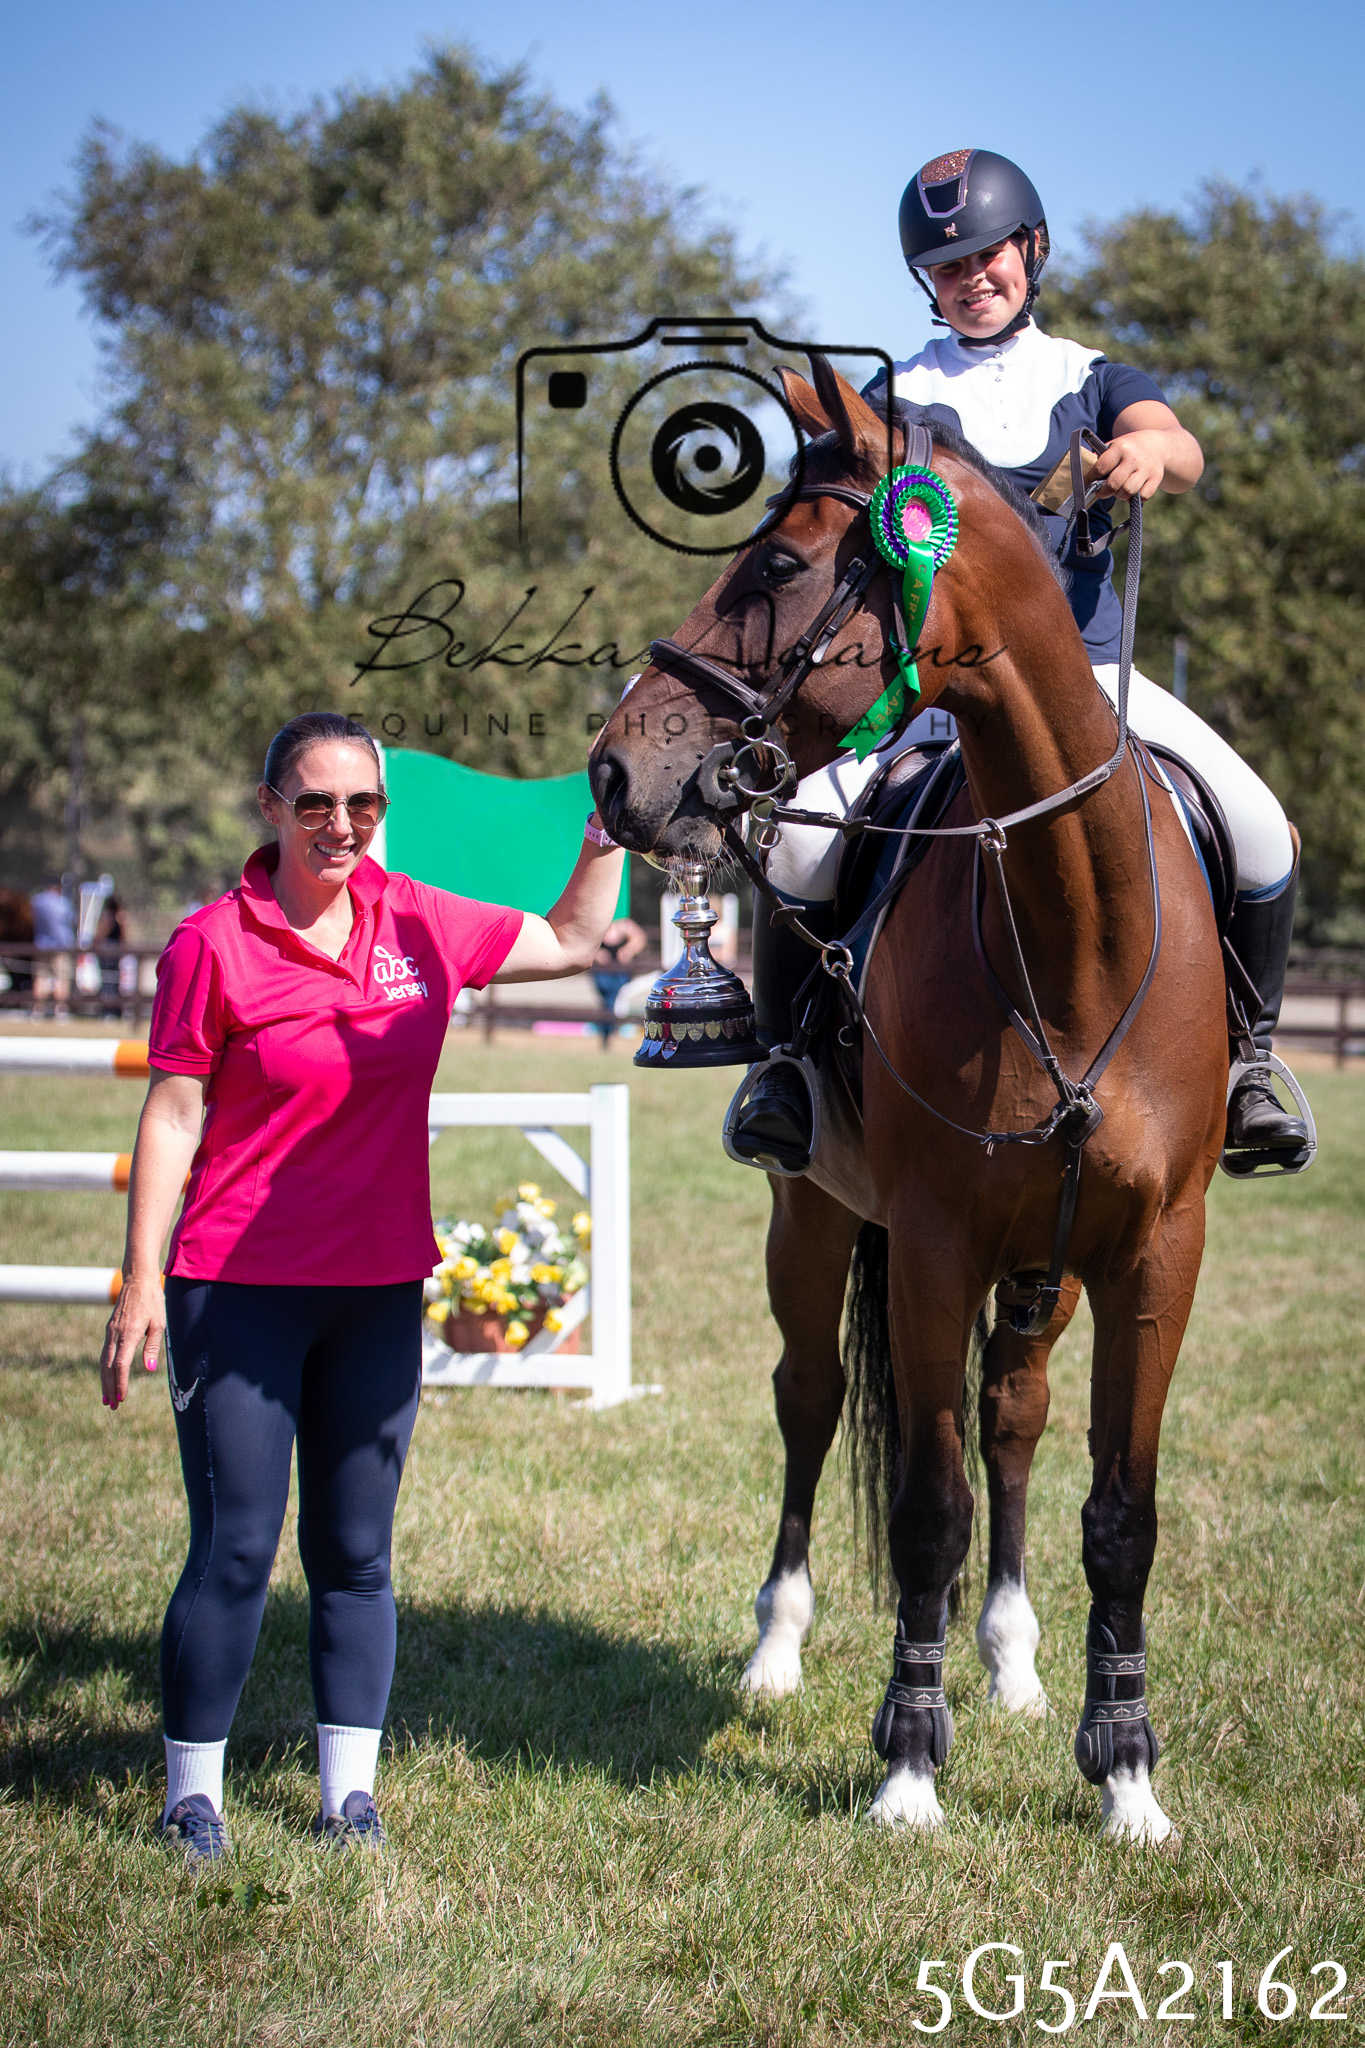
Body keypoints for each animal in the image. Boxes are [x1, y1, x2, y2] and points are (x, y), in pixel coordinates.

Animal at [589, 358, 1228, 1844]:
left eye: (777, 562)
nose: (616, 769)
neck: (1073, 933)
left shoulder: (1153, 1253)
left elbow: (1121, 1511)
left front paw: (1127, 1772)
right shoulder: (933, 1244)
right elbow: (925, 1503)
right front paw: (908, 1764)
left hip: (1046, 1266)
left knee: (1013, 1416)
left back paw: (1014, 1660)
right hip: (814, 1220)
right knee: (812, 1398)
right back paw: (776, 1649)